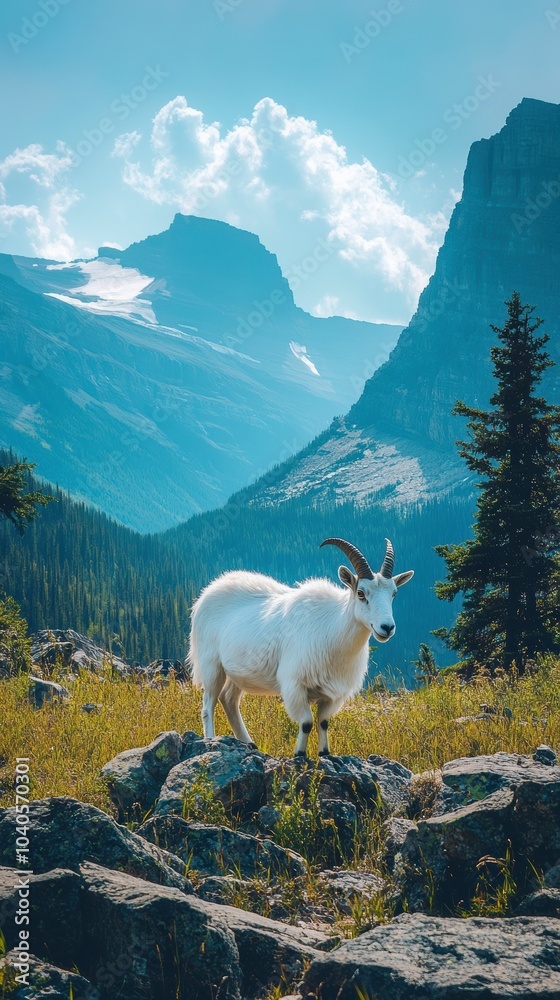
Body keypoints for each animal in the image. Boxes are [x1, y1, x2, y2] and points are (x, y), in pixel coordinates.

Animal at [188, 538, 414, 757]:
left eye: (393, 593)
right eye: (360, 593)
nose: (387, 627)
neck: (332, 628)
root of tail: (207, 593)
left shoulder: (333, 695)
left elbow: (323, 722)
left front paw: (324, 753)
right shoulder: (295, 685)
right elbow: (306, 723)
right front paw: (299, 755)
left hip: (239, 672)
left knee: (229, 700)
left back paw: (249, 743)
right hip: (212, 665)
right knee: (208, 705)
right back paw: (211, 740)